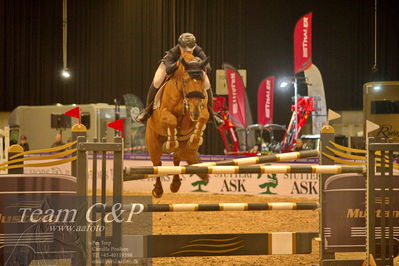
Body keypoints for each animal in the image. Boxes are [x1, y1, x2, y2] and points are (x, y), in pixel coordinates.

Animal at [145, 53, 211, 197]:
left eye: (203, 80)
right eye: (185, 81)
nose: (195, 111)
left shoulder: (198, 113)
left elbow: (203, 117)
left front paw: (195, 140)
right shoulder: (164, 114)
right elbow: (172, 121)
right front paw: (170, 144)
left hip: (181, 147)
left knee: (177, 159)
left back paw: (175, 184)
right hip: (153, 144)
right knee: (157, 164)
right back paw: (158, 190)